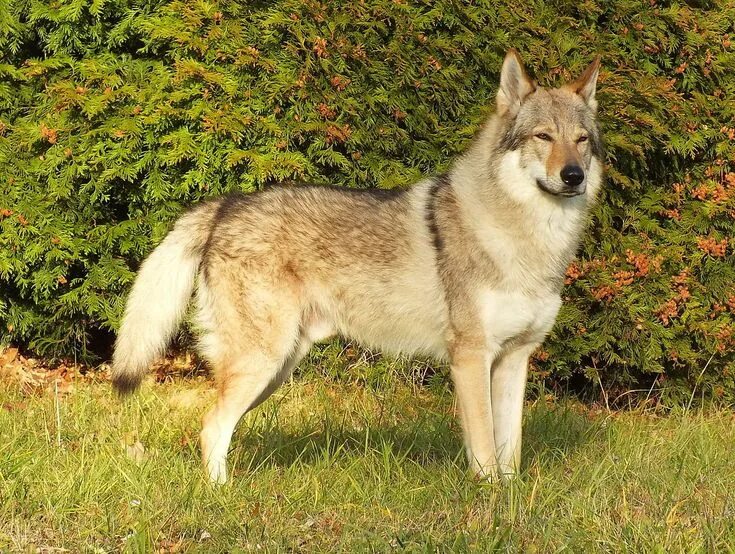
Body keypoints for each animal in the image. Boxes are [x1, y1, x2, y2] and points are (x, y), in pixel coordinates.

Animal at [110, 51, 604, 484]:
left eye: (581, 140)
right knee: (212, 426)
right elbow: (483, 450)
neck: (528, 240)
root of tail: (226, 205)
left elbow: (510, 452)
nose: (574, 176)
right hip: (262, 364)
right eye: (543, 137)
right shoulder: (470, 358)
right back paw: (222, 495)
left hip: (275, 370)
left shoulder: (514, 359)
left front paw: (511, 498)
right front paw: (488, 501)